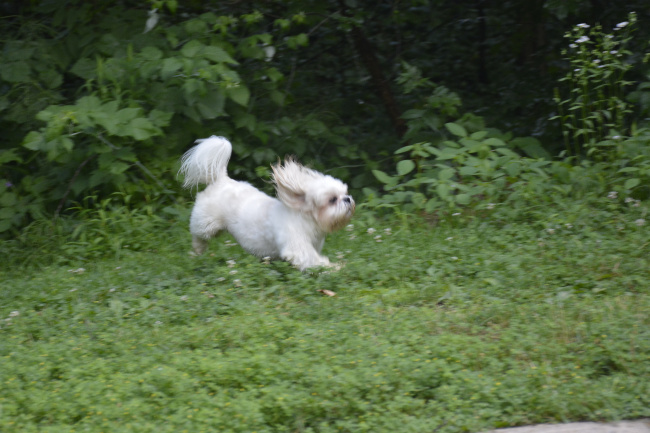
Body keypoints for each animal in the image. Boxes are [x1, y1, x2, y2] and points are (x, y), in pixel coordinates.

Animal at [178, 136, 354, 270]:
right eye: (332, 199)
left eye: (344, 193)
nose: (348, 199)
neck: (305, 219)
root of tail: (222, 179)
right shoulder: (298, 248)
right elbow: (313, 260)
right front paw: (335, 267)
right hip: (206, 223)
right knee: (198, 235)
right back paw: (197, 251)